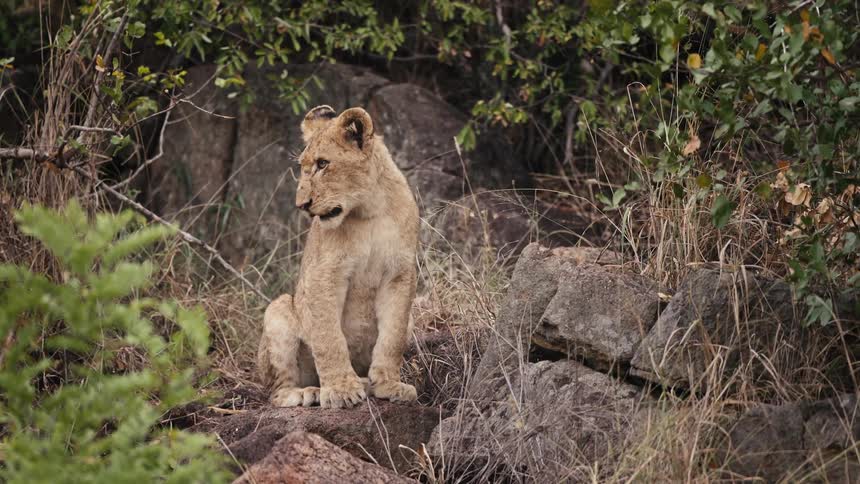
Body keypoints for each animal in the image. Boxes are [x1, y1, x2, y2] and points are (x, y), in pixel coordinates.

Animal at [256, 105, 419, 408]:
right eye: (303, 166)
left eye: (323, 164)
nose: (301, 205)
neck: (369, 211)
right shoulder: (324, 273)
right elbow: (328, 337)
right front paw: (341, 389)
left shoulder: (400, 274)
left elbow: (392, 337)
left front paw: (389, 385)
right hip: (279, 308)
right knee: (276, 392)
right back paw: (308, 392)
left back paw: (365, 382)